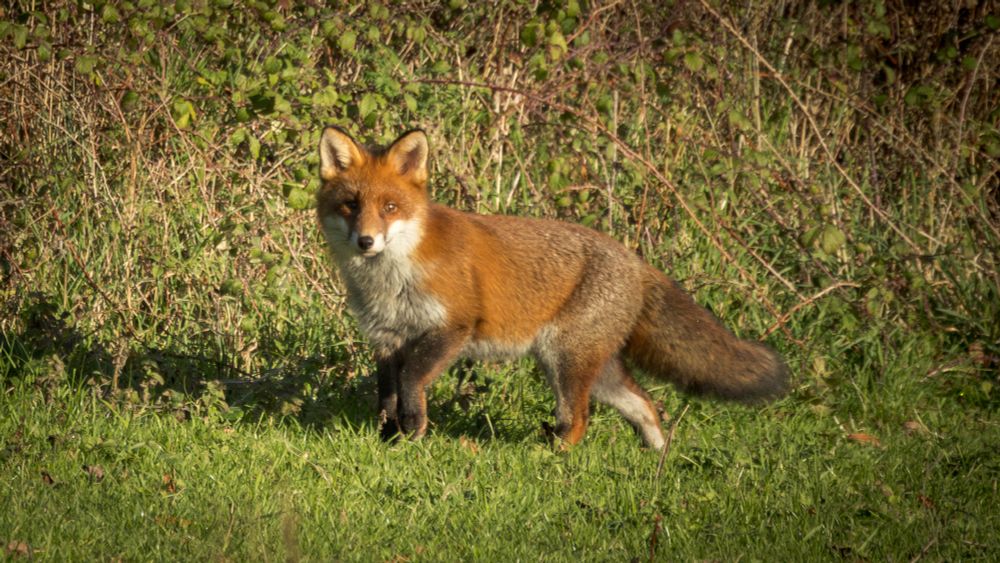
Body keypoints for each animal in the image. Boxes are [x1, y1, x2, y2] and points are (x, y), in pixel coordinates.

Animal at [316, 126, 789, 450]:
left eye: (390, 207)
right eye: (351, 205)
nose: (366, 241)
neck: (392, 281)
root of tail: (634, 260)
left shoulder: (453, 326)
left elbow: (412, 381)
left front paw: (413, 432)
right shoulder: (387, 339)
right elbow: (387, 395)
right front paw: (389, 440)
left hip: (566, 361)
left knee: (579, 419)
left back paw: (552, 456)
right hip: (588, 367)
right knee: (645, 405)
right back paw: (658, 460)